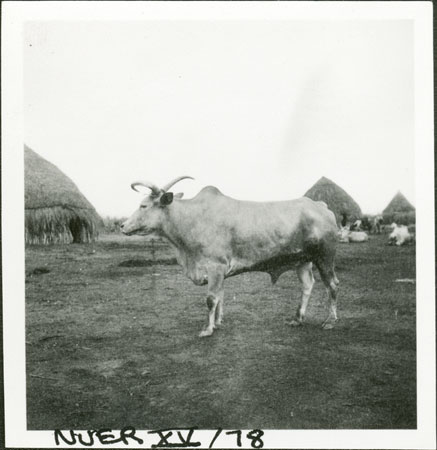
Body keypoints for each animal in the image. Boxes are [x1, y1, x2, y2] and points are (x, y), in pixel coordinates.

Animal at [121, 178, 338, 336]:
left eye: (143, 205)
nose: (122, 225)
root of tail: (321, 205)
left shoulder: (215, 266)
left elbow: (211, 298)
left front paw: (207, 329)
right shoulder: (219, 271)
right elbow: (220, 296)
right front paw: (217, 322)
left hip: (325, 257)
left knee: (332, 285)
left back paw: (330, 321)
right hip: (302, 260)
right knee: (307, 285)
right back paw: (297, 318)